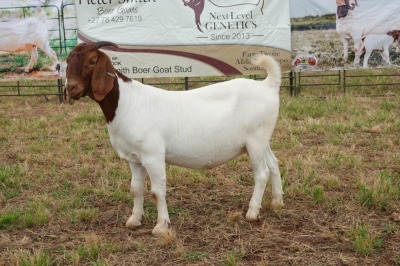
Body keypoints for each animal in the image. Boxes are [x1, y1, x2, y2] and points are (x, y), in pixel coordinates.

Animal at [65, 41, 282, 235]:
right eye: (67, 60)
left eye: (92, 61)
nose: (71, 88)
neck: (127, 103)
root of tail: (268, 85)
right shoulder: (134, 158)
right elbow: (136, 188)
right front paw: (134, 219)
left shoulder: (153, 155)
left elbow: (157, 191)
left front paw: (161, 226)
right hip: (262, 141)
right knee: (273, 164)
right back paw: (277, 202)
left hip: (256, 140)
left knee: (261, 173)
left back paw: (252, 212)